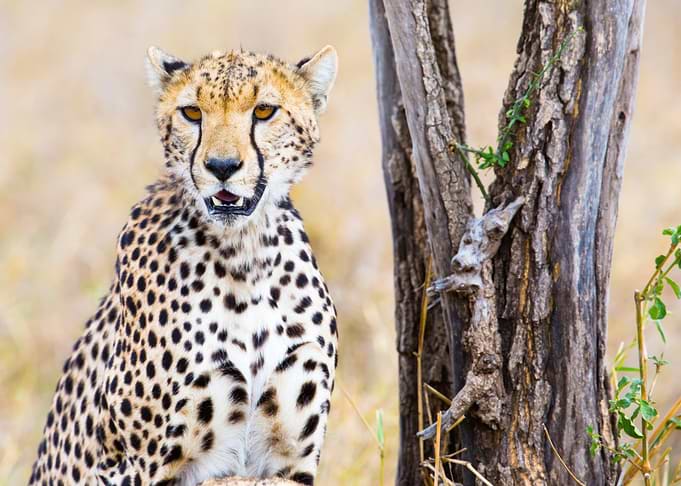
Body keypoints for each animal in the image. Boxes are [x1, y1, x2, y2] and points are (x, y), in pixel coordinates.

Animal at [28, 44, 339, 486]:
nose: (222, 167)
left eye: (264, 111)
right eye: (192, 113)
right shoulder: (136, 467)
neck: (246, 256)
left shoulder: (289, 463)